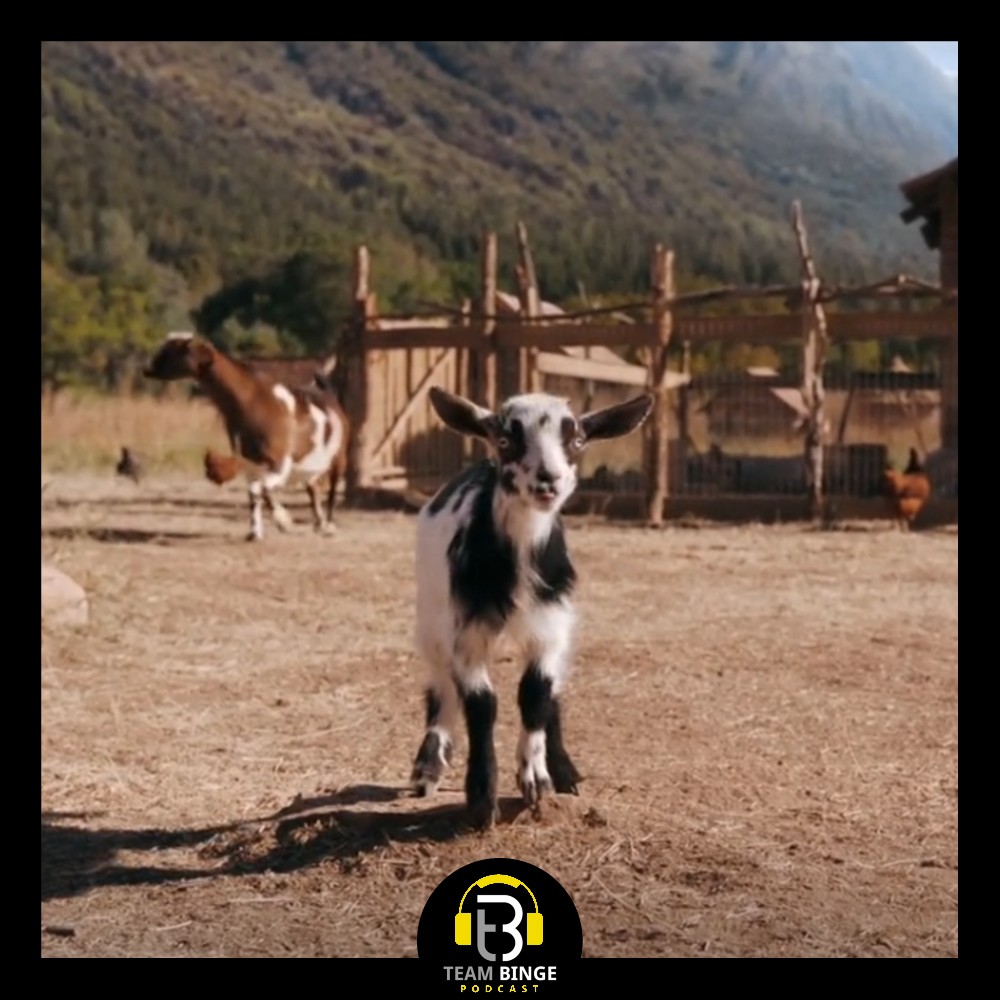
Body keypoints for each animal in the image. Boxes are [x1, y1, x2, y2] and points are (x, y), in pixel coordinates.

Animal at [143, 333, 349, 541]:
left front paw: (283, 521)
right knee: (312, 488)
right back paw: (320, 523)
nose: (147, 369)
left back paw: (329, 524)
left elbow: (263, 489)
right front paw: (255, 532)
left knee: (331, 489)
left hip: (339, 458)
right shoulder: (250, 463)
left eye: (176, 349)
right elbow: (254, 493)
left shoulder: (279, 462)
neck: (250, 401)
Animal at [409, 386, 653, 829]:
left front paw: (537, 777)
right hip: (431, 617)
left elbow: (536, 692)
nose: (548, 479)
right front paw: (481, 797)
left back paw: (565, 772)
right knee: (440, 686)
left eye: (577, 440)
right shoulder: (467, 633)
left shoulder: (553, 625)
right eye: (505, 439)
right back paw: (428, 766)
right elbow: (481, 704)